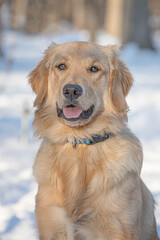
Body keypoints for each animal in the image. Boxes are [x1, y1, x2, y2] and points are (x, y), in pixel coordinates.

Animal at [29, 42, 159, 239]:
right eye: (61, 66)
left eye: (94, 69)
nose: (71, 90)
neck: (80, 141)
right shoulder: (52, 223)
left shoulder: (116, 227)